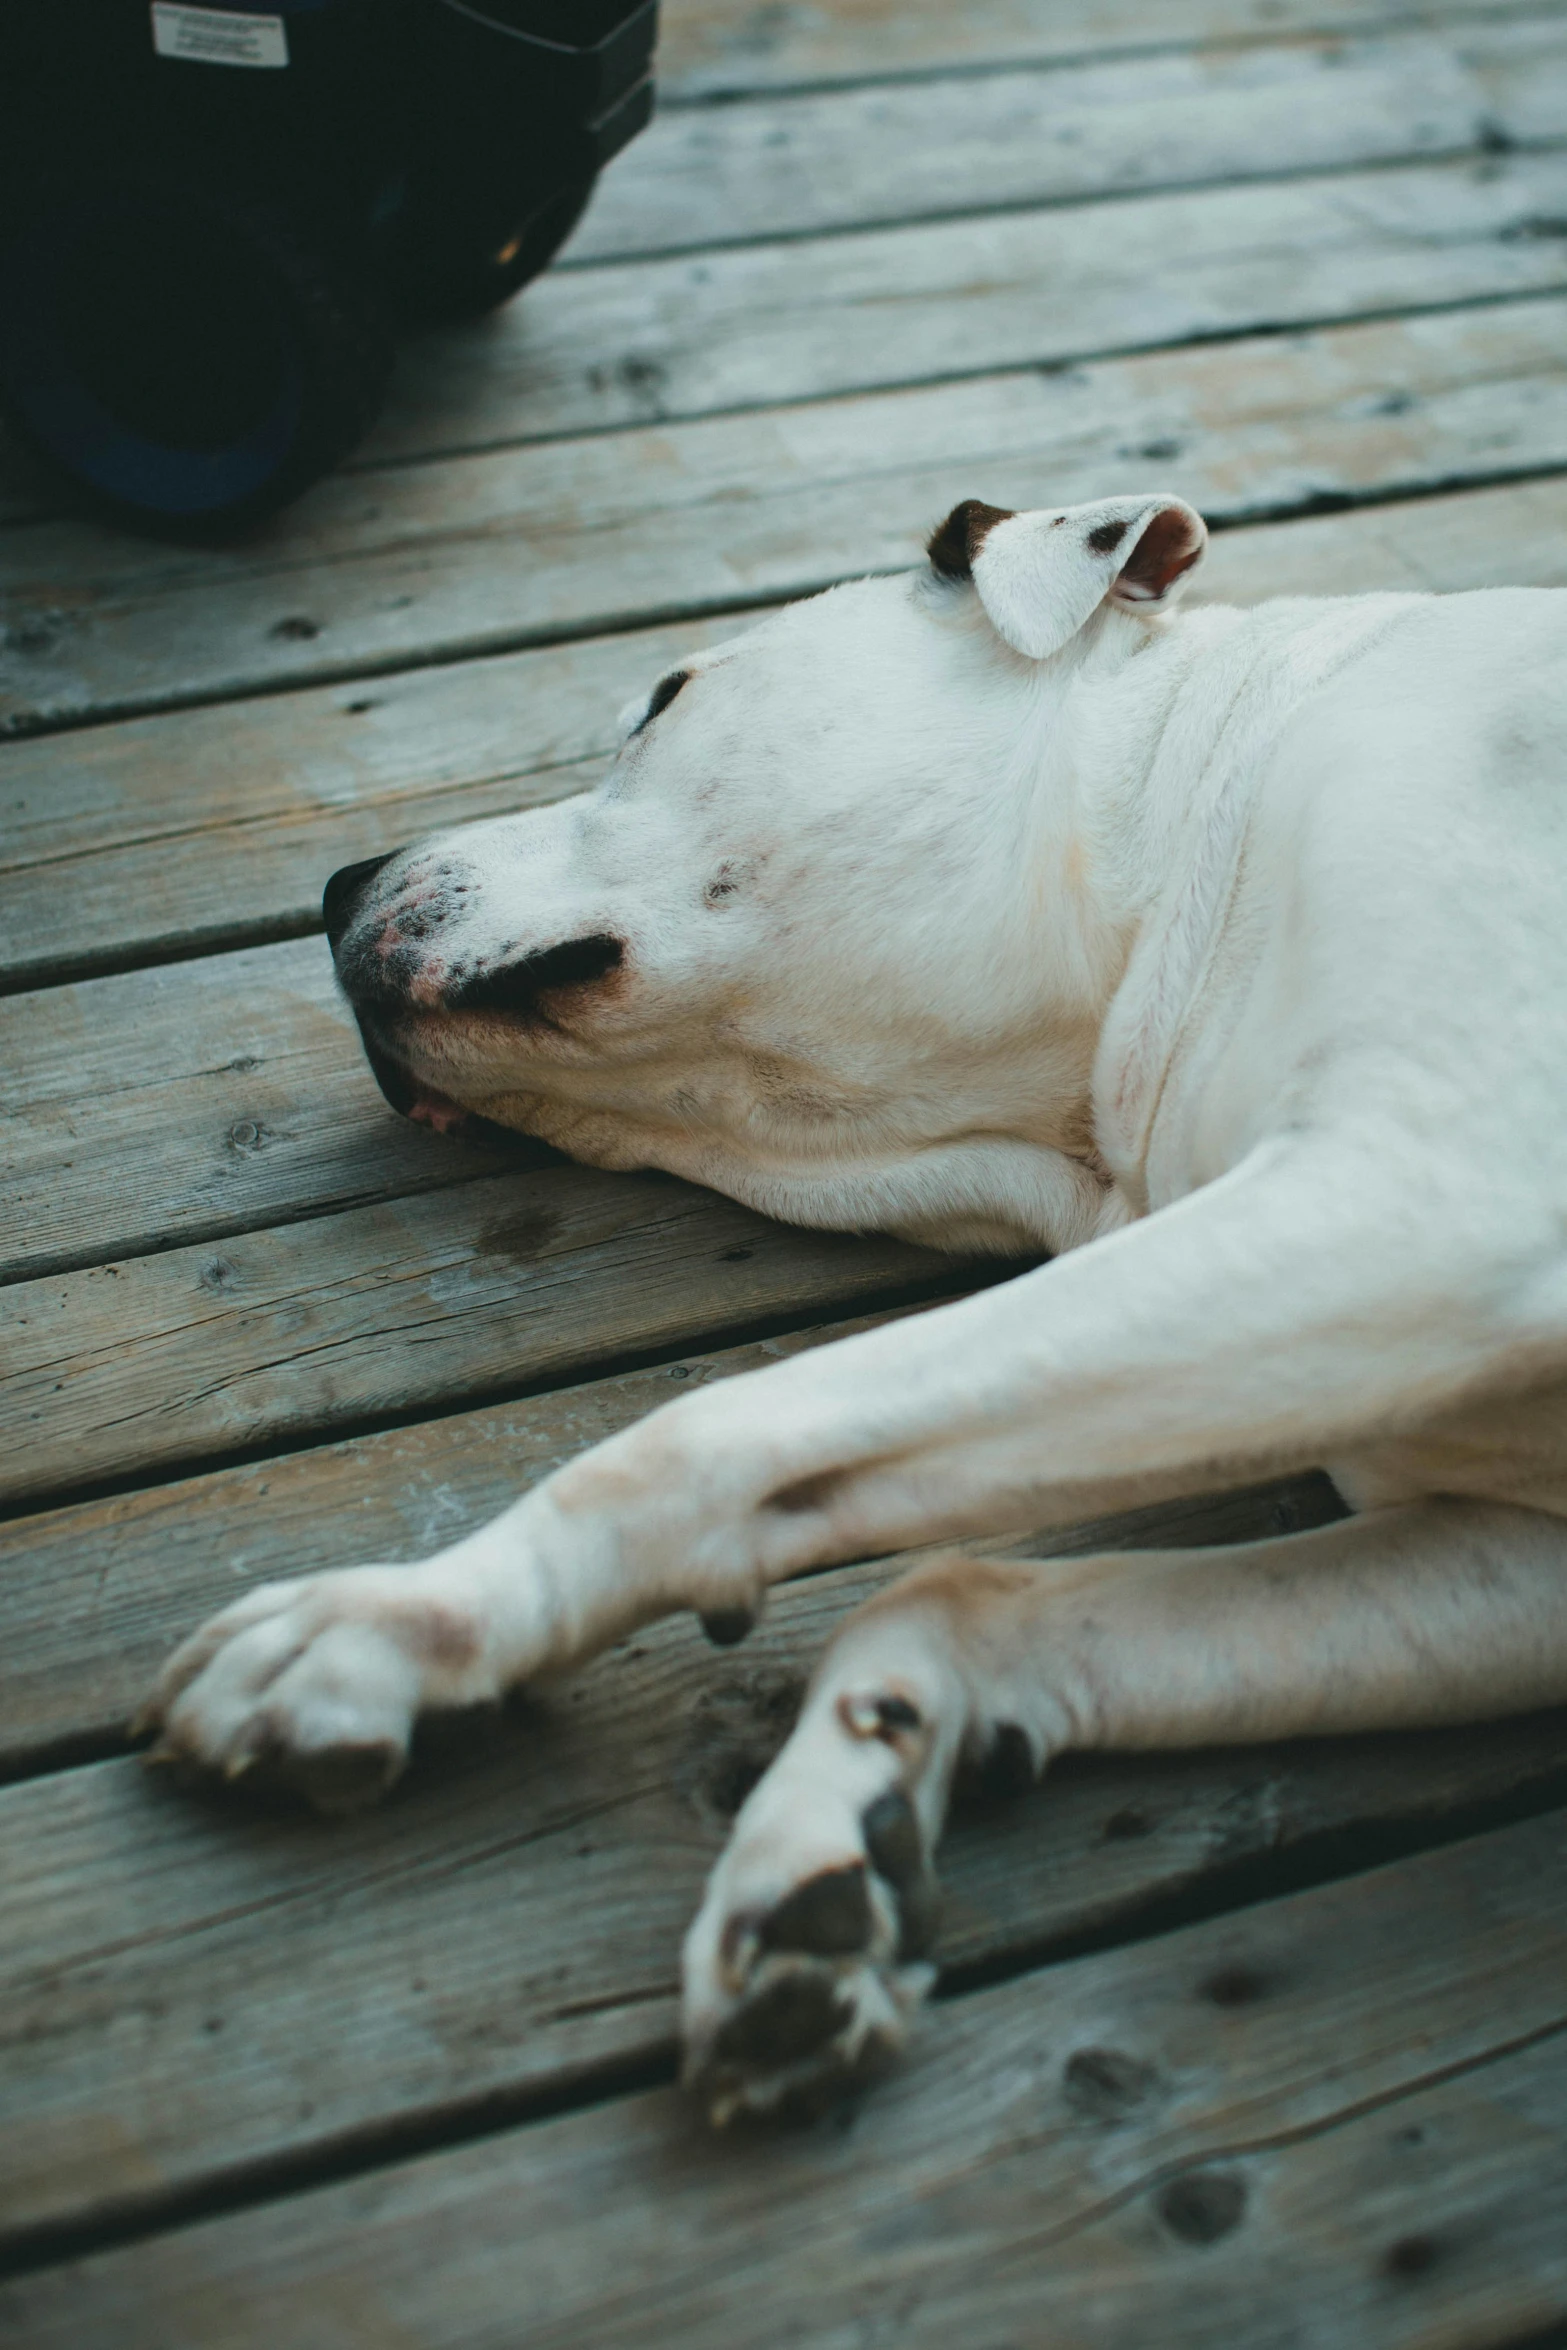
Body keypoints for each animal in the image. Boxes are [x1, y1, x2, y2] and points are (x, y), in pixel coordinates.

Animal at [140, 500, 1567, 2133]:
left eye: (664, 698)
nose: (334, 884)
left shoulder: (1426, 1185)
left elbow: (699, 1432)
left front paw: (401, 1621)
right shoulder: (1506, 1554)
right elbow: (960, 1589)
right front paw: (832, 1825)